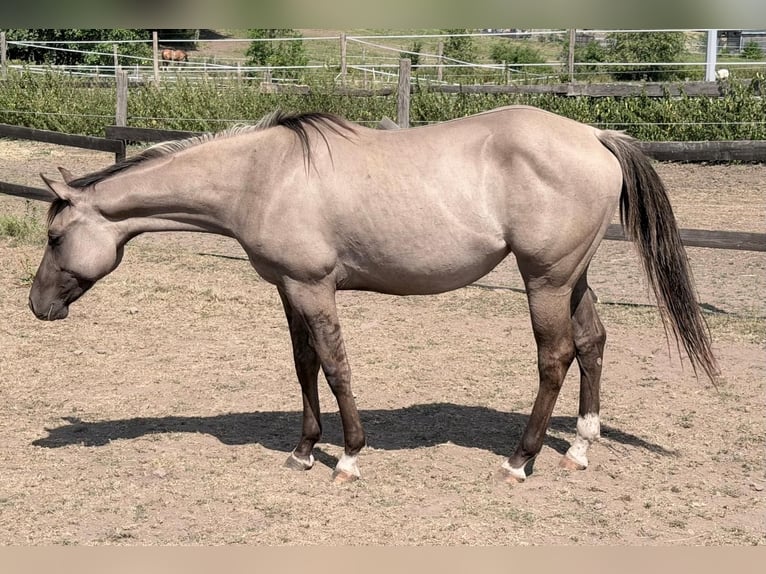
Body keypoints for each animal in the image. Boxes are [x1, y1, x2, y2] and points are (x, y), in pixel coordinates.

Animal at [28, 106, 719, 484]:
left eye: (56, 234)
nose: (38, 305)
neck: (262, 177)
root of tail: (595, 135)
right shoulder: (289, 289)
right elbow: (304, 365)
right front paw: (304, 450)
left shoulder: (313, 288)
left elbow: (335, 366)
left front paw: (349, 456)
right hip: (572, 277)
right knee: (593, 341)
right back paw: (579, 446)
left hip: (545, 279)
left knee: (555, 358)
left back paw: (521, 460)